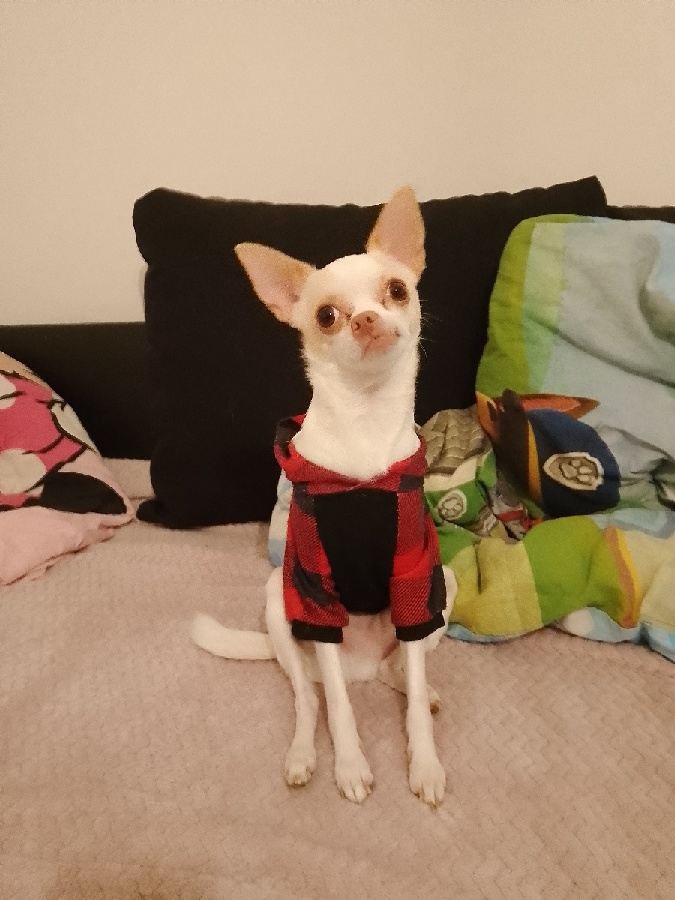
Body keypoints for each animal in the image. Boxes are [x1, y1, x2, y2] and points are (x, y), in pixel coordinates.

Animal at [192, 186, 455, 807]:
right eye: (326, 316)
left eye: (397, 290)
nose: (365, 318)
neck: (364, 428)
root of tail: (362, 665)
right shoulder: (315, 596)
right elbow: (336, 708)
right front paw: (352, 766)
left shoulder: (416, 580)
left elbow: (412, 702)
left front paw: (425, 765)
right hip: (278, 602)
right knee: (309, 700)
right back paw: (303, 753)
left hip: (444, 589)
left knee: (400, 673)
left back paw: (413, 686)